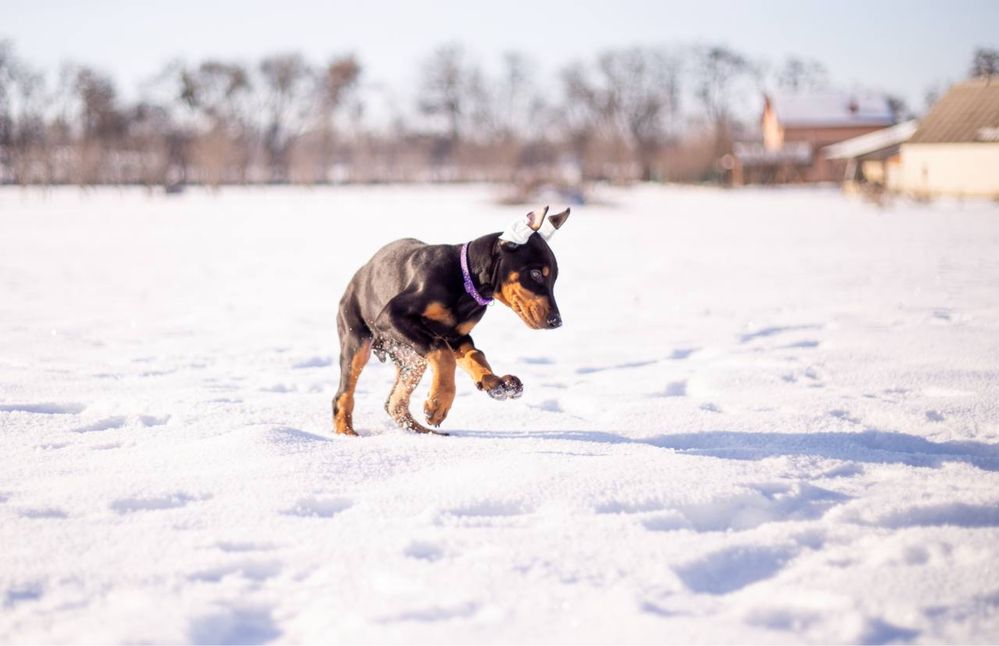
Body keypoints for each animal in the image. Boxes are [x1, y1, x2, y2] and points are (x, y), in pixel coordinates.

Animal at [332, 206, 570, 436]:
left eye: (554, 278)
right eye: (536, 274)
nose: (556, 321)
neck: (465, 281)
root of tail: (358, 275)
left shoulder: (456, 336)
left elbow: (474, 354)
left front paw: (493, 382)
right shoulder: (392, 316)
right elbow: (442, 352)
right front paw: (438, 405)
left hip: (412, 357)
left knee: (394, 403)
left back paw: (423, 432)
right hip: (358, 342)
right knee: (344, 394)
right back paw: (346, 432)